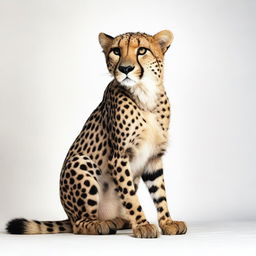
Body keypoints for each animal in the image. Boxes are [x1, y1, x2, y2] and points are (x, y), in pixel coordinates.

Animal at [6, 30, 186, 238]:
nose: (125, 68)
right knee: (79, 225)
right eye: (116, 51)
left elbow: (160, 194)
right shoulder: (119, 156)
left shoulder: (154, 158)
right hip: (80, 162)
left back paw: (119, 221)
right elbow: (130, 196)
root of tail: (68, 216)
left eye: (142, 50)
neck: (145, 94)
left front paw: (168, 222)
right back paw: (100, 225)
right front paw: (142, 225)